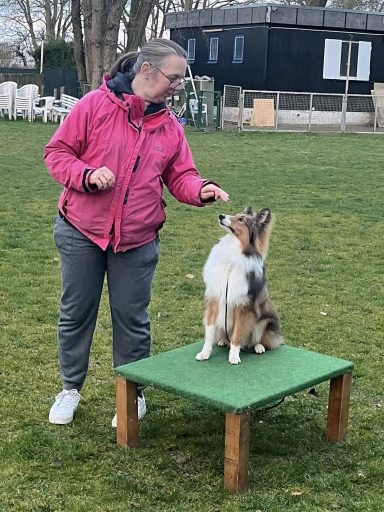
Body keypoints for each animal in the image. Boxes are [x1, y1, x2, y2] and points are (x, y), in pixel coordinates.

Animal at [196, 206, 284, 366]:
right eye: (236, 215)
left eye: (242, 219)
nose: (221, 216)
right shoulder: (215, 299)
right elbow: (210, 332)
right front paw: (205, 353)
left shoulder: (243, 306)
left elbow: (237, 334)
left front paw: (234, 356)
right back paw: (223, 341)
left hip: (265, 320)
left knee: (262, 340)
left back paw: (259, 347)